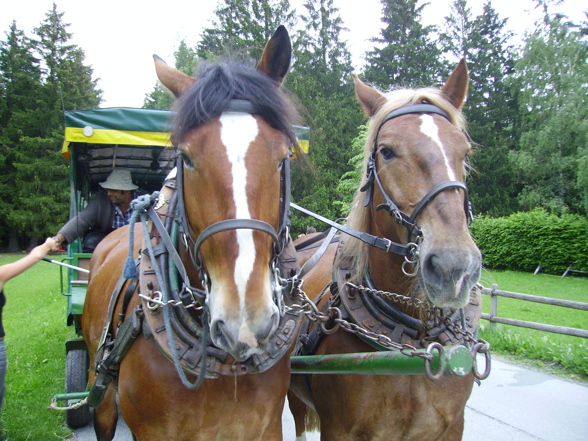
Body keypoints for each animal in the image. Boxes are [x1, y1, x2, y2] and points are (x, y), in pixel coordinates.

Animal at [290, 59, 486, 440]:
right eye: (387, 151)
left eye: (464, 150)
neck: (417, 343)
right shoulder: (339, 429)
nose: (454, 268)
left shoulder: (452, 427)